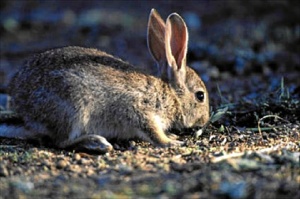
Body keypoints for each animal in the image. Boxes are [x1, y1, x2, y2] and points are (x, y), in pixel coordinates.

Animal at [1, 8, 209, 153]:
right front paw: (172, 142)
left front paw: (171, 134)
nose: (205, 120)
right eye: (200, 96)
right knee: (60, 141)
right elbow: (152, 132)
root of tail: (27, 115)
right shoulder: (141, 110)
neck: (171, 95)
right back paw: (96, 143)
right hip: (73, 110)